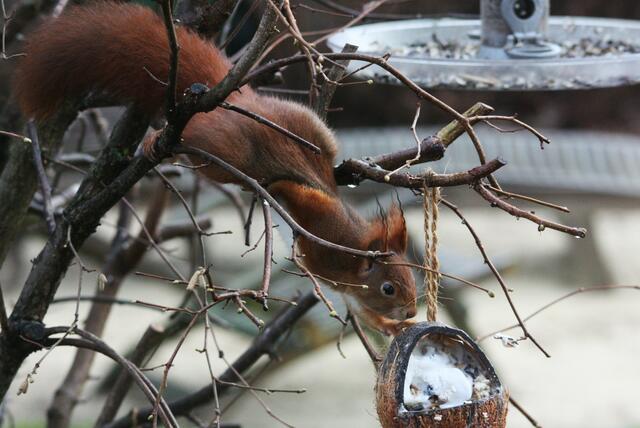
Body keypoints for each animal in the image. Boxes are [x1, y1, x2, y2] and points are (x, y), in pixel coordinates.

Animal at [14, 3, 417, 334]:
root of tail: (239, 105)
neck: (354, 261)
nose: (412, 311)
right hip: (219, 149)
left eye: (413, 280)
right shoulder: (328, 236)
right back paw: (158, 139)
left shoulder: (351, 291)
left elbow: (363, 312)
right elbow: (306, 198)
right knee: (199, 136)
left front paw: (393, 328)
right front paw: (288, 189)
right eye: (388, 288)